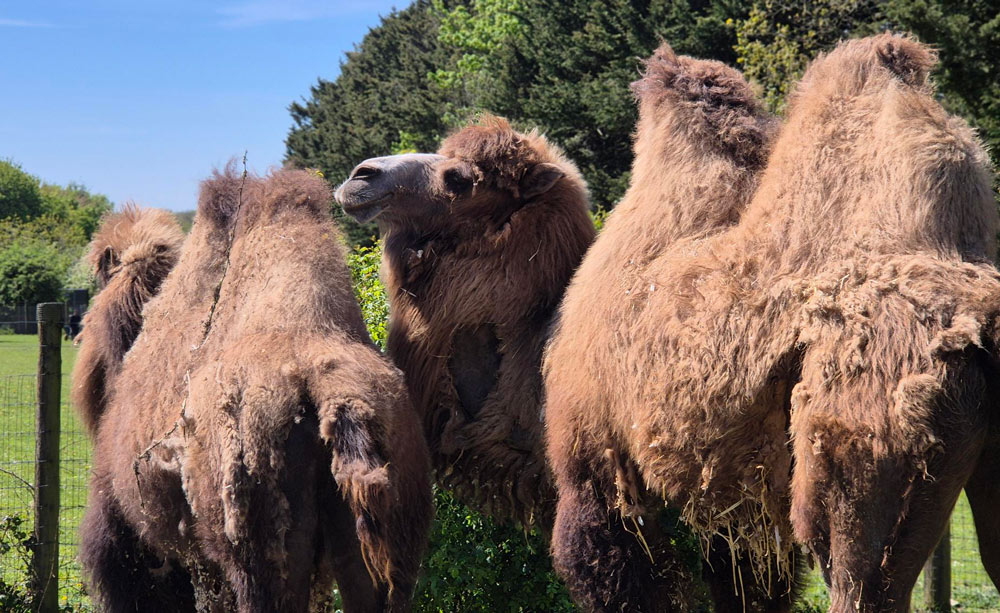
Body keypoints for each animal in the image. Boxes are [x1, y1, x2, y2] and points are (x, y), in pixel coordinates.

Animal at [544, 33, 1000, 613]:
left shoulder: (592, 451)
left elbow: (621, 568)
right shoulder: (739, 497)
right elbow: (748, 579)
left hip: (864, 446)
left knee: (857, 575)